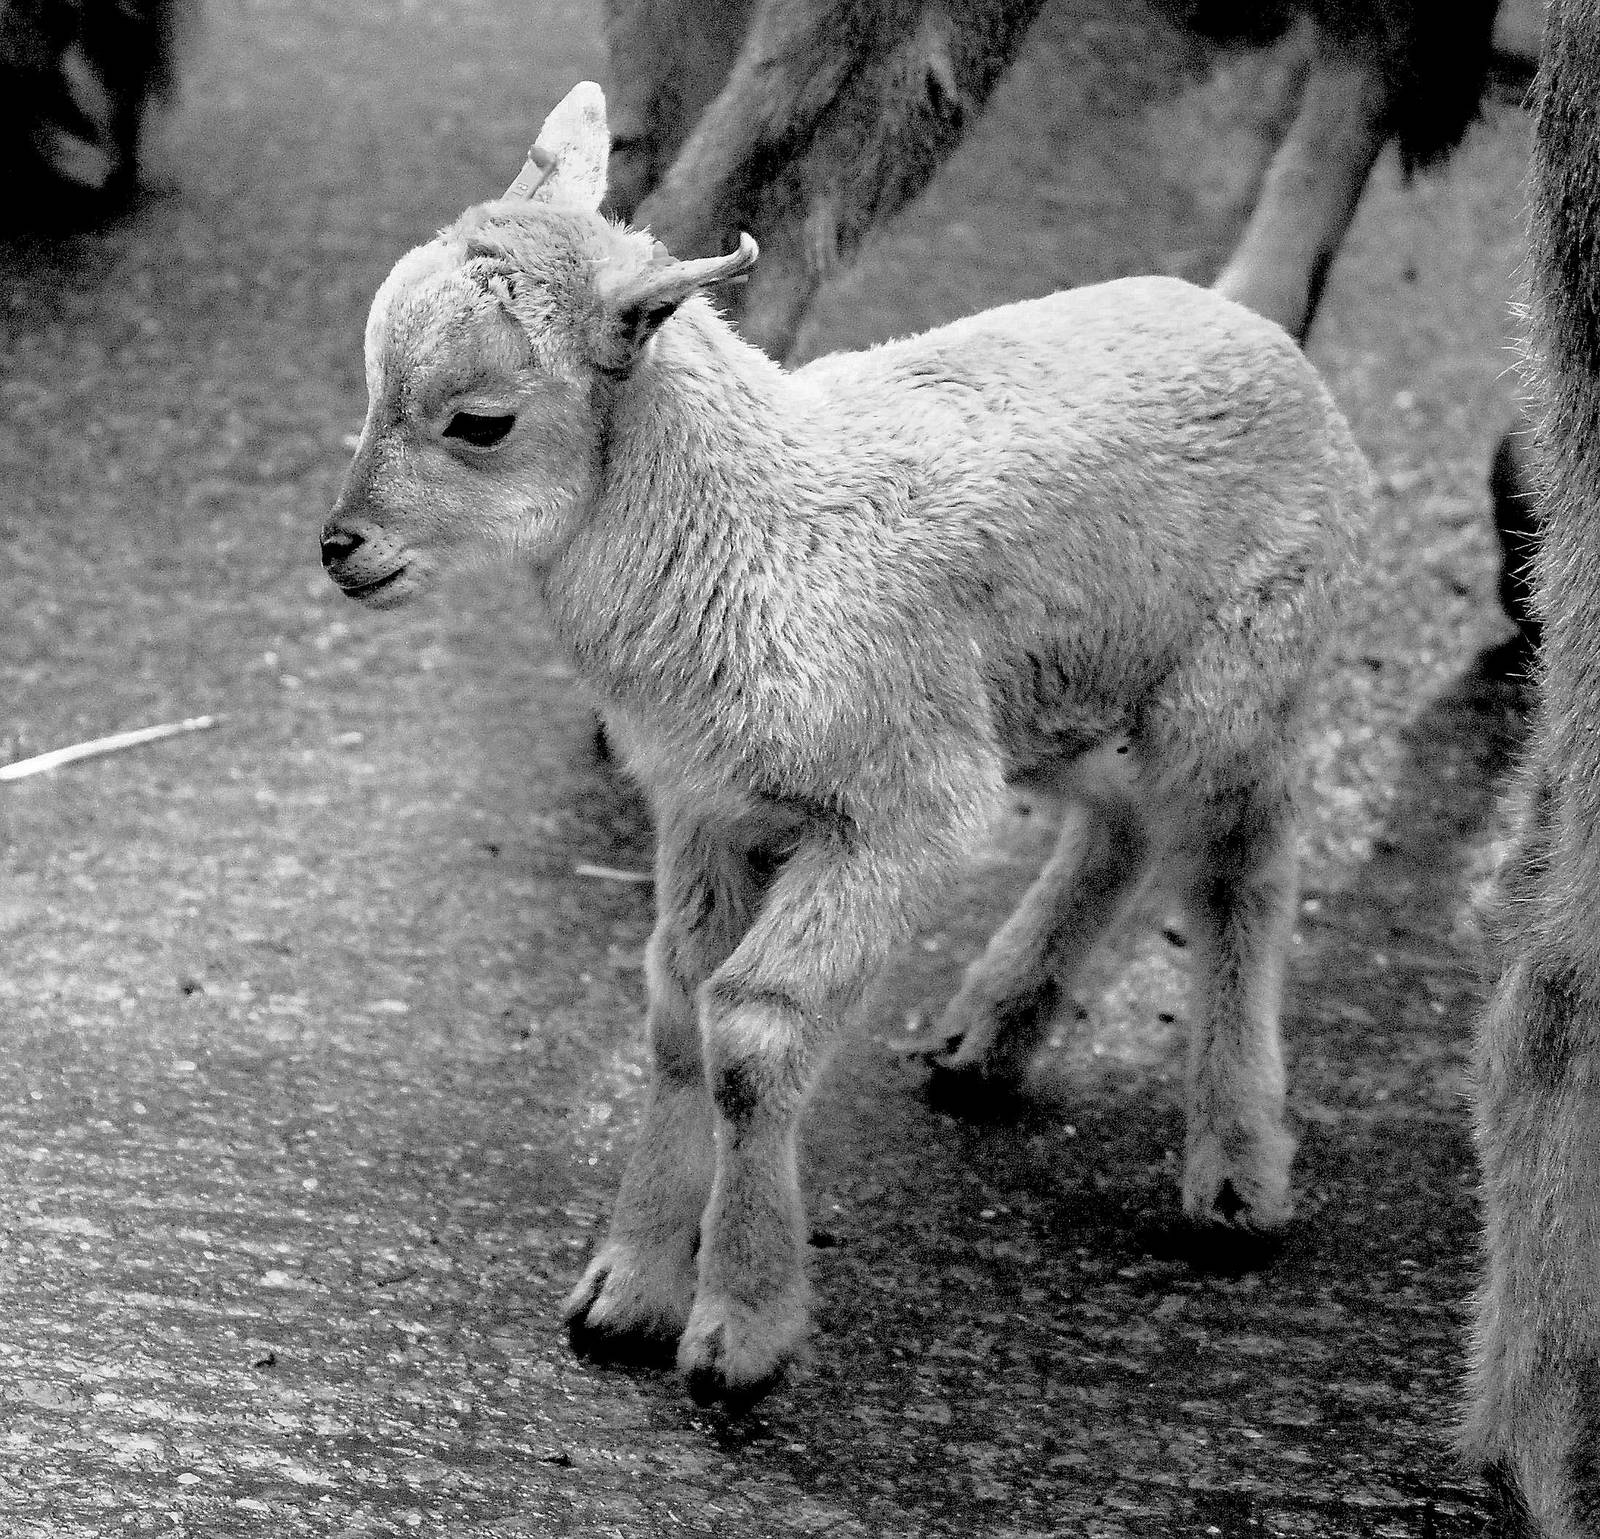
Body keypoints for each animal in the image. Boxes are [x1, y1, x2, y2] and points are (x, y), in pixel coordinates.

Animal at [322, 82, 1374, 1403]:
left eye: (480, 422)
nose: (340, 547)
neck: (760, 532)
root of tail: (1251, 323)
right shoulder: (711, 810)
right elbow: (677, 1015)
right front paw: (626, 1290)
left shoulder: (894, 815)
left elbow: (750, 1033)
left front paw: (739, 1328)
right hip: (1050, 698)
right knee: (1123, 820)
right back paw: (986, 1040)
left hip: (1236, 677)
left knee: (1240, 873)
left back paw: (1233, 1176)